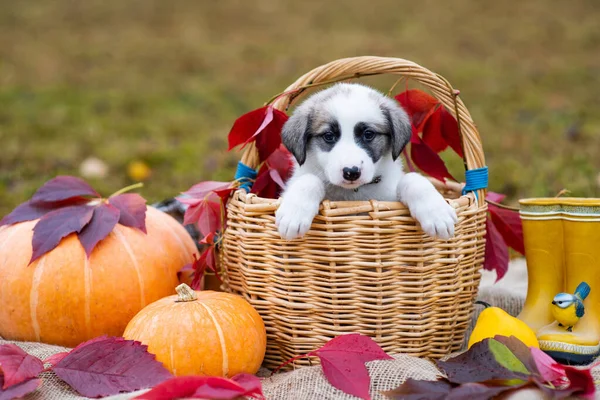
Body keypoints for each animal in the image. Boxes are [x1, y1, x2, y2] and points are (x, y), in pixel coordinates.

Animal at [274, 83, 458, 241]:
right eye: (328, 136)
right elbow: (309, 179)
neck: (353, 195)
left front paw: (437, 212)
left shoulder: (389, 198)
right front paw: (294, 213)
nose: (351, 172)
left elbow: (413, 179)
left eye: (368, 134)